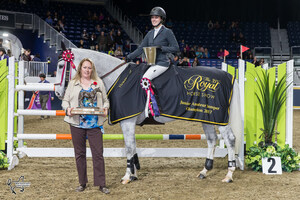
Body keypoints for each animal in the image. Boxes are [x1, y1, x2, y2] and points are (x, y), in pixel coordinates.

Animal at [55, 47, 244, 184]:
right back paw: (204, 171)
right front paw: (134, 174)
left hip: (220, 119)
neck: (117, 77)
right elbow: (132, 146)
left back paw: (229, 174)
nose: (57, 93)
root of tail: (228, 75)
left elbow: (129, 147)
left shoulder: (127, 121)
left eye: (60, 66)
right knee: (212, 139)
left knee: (230, 140)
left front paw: (127, 176)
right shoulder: (128, 122)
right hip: (206, 117)